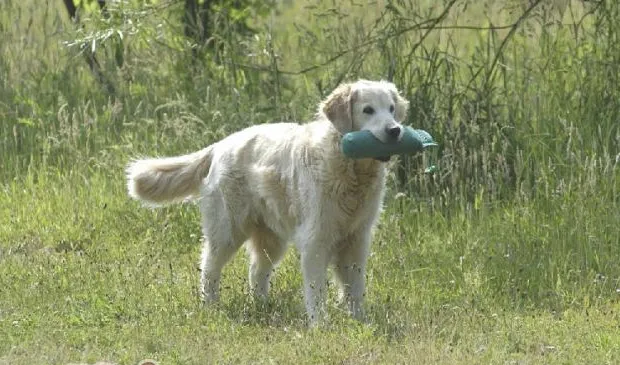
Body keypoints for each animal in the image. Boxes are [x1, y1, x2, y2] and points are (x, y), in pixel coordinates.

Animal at [124, 79, 410, 324]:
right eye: (368, 110)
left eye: (391, 109)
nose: (395, 130)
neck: (349, 169)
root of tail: (220, 145)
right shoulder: (316, 239)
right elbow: (317, 290)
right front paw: (320, 326)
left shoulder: (357, 238)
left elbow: (355, 288)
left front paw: (359, 321)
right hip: (227, 230)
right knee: (209, 268)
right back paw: (211, 307)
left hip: (270, 238)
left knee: (256, 272)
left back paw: (262, 306)